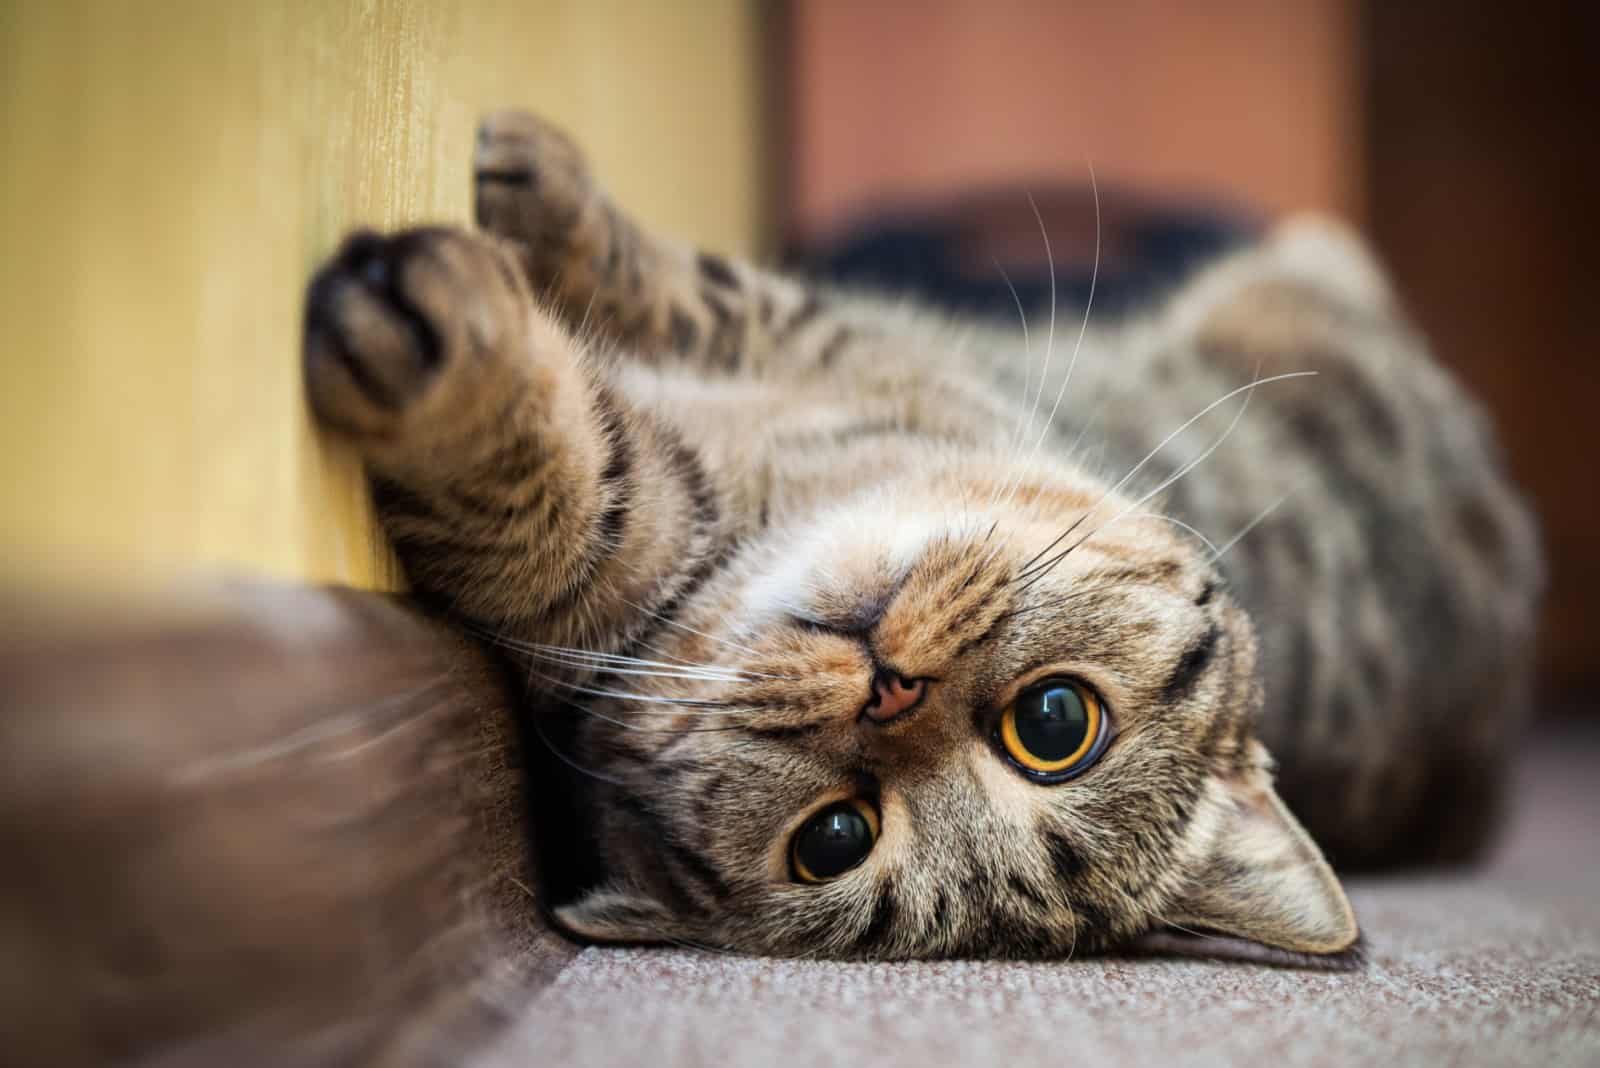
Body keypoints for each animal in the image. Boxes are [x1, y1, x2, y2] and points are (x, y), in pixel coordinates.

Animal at [300, 110, 1536, 959]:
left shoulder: (640, 538)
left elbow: (564, 484)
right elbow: (674, 276)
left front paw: (448, 354)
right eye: (1057, 724)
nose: (889, 687)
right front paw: (536, 177)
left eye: (835, 841)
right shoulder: (836, 343)